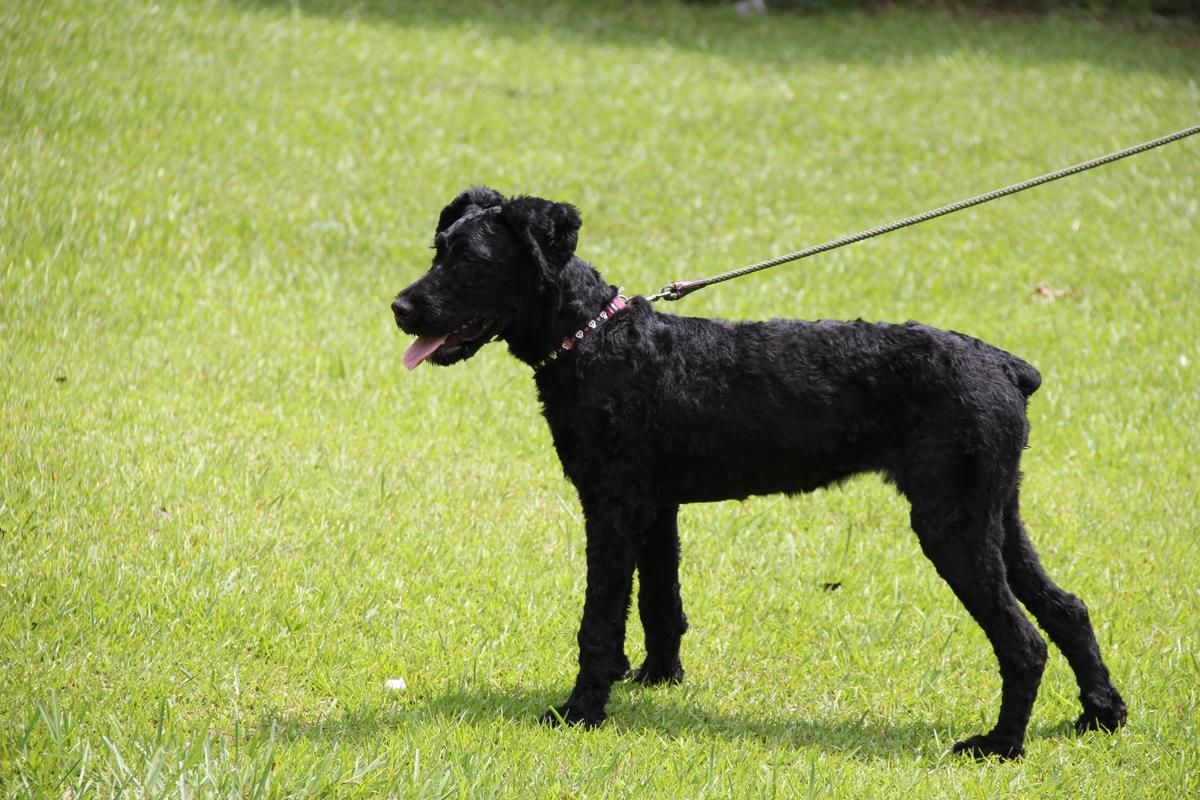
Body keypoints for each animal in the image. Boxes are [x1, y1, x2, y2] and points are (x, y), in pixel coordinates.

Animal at [391, 185, 1123, 758]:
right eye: (437, 247)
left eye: (472, 259)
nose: (400, 308)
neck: (593, 338)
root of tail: (1005, 365)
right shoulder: (655, 508)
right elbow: (659, 602)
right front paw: (658, 679)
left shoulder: (612, 505)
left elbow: (600, 618)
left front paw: (581, 711)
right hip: (995, 516)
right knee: (1067, 607)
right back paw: (1100, 714)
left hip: (952, 527)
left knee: (1024, 640)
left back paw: (1000, 745)